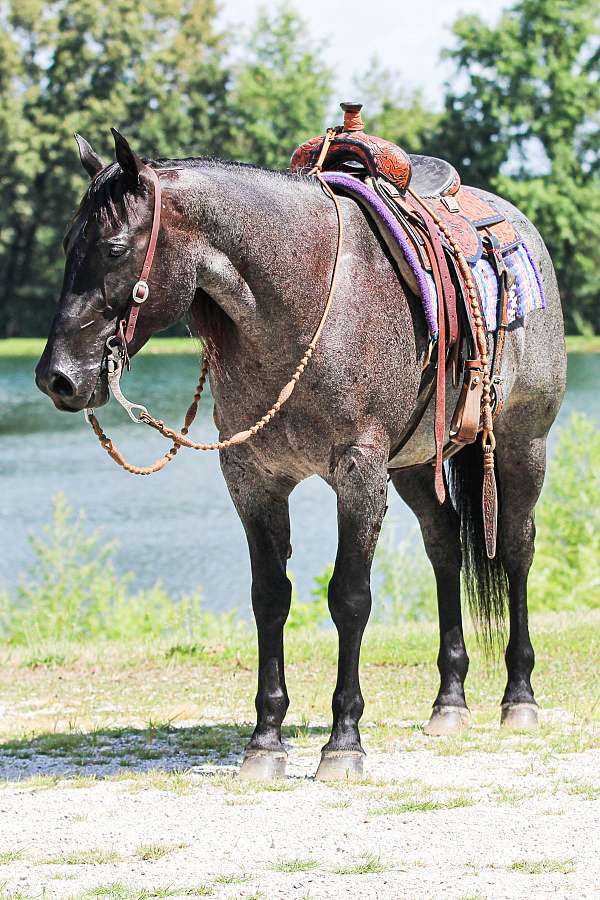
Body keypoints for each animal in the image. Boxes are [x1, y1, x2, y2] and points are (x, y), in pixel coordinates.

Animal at [35, 130, 566, 780]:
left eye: (113, 248)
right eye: (67, 244)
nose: (57, 377)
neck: (300, 303)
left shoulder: (360, 476)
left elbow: (350, 599)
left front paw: (343, 741)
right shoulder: (253, 479)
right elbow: (270, 598)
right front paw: (265, 741)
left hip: (522, 445)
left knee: (516, 548)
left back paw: (519, 696)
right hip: (415, 465)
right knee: (444, 548)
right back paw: (449, 701)